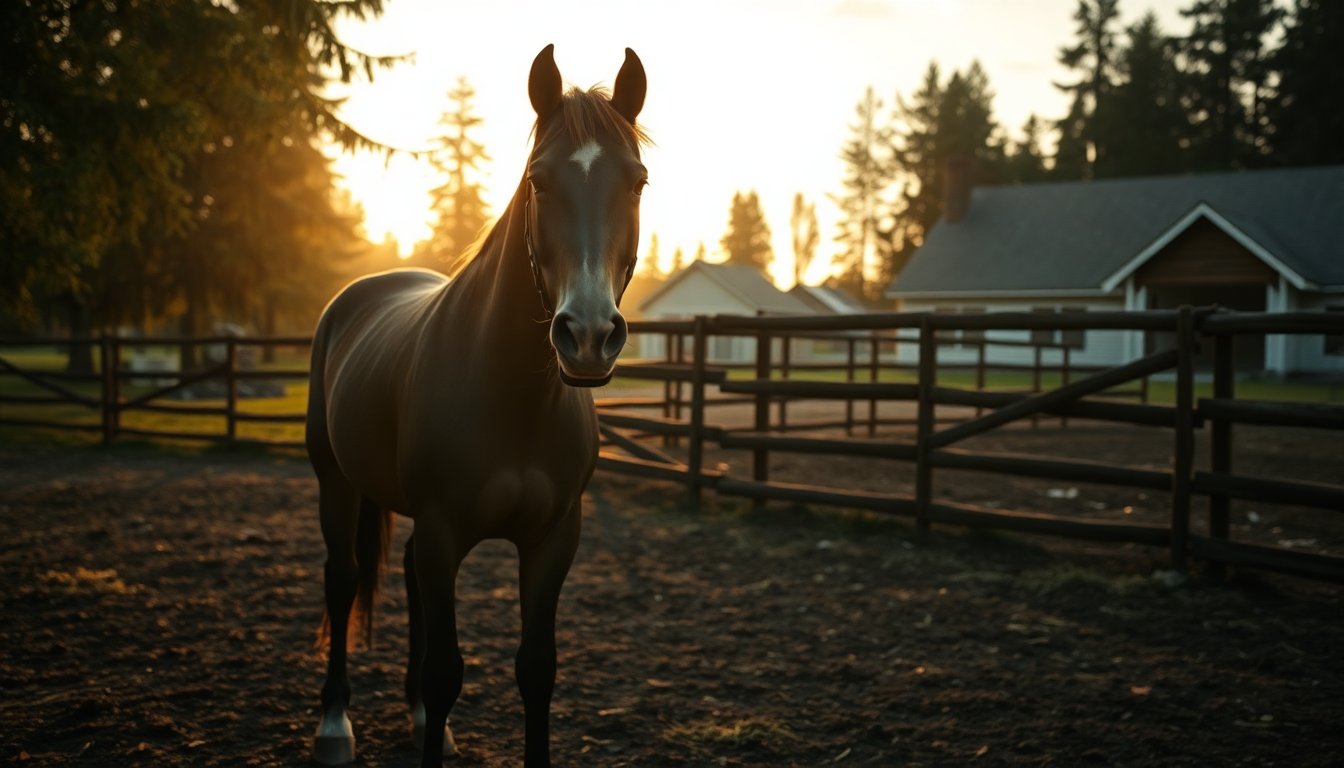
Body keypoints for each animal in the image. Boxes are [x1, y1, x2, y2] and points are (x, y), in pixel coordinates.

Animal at [304, 44, 649, 767]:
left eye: (637, 182)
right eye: (539, 181)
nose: (588, 336)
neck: (512, 397)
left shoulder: (552, 539)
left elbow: (536, 669)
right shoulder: (443, 531)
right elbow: (446, 670)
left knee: (401, 575)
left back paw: (414, 717)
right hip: (335, 481)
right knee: (343, 579)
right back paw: (335, 724)